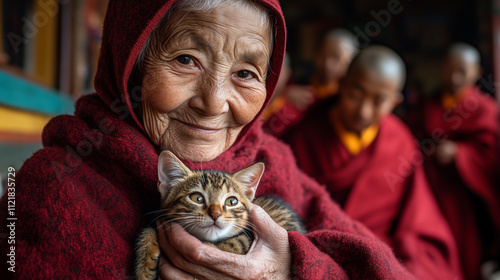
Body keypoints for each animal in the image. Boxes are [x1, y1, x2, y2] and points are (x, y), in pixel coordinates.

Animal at [135, 151, 304, 280]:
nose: (215, 214)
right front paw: (144, 267)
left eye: (231, 201)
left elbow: (234, 243)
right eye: (197, 198)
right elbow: (148, 228)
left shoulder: (246, 237)